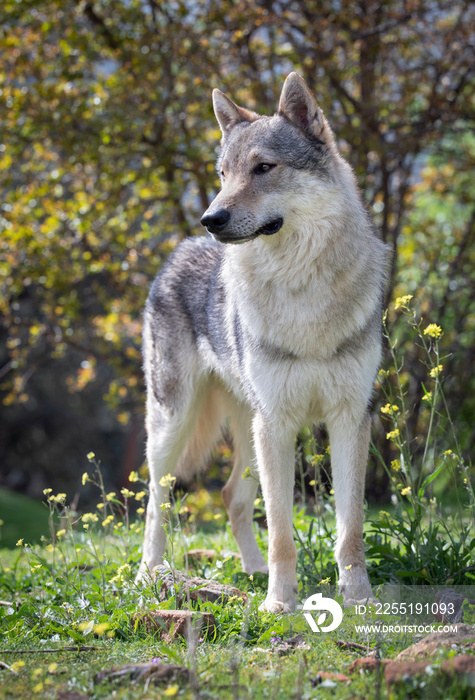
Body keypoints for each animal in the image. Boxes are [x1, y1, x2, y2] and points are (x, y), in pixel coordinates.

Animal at [138, 72, 390, 612]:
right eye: (222, 173)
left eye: (263, 168)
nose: (211, 218)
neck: (302, 290)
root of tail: (179, 248)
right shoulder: (277, 423)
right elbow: (281, 531)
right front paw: (279, 604)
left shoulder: (349, 420)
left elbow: (351, 527)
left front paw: (358, 599)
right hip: (176, 425)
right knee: (157, 500)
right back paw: (148, 575)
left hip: (247, 429)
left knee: (231, 496)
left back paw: (251, 571)